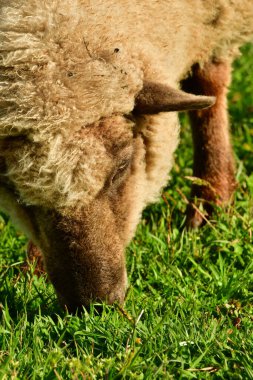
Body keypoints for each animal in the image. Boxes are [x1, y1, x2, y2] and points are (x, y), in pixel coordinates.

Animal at [0, 0, 253, 312]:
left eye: (122, 166)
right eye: (14, 192)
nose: (94, 304)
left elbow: (209, 83)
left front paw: (211, 202)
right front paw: (32, 267)